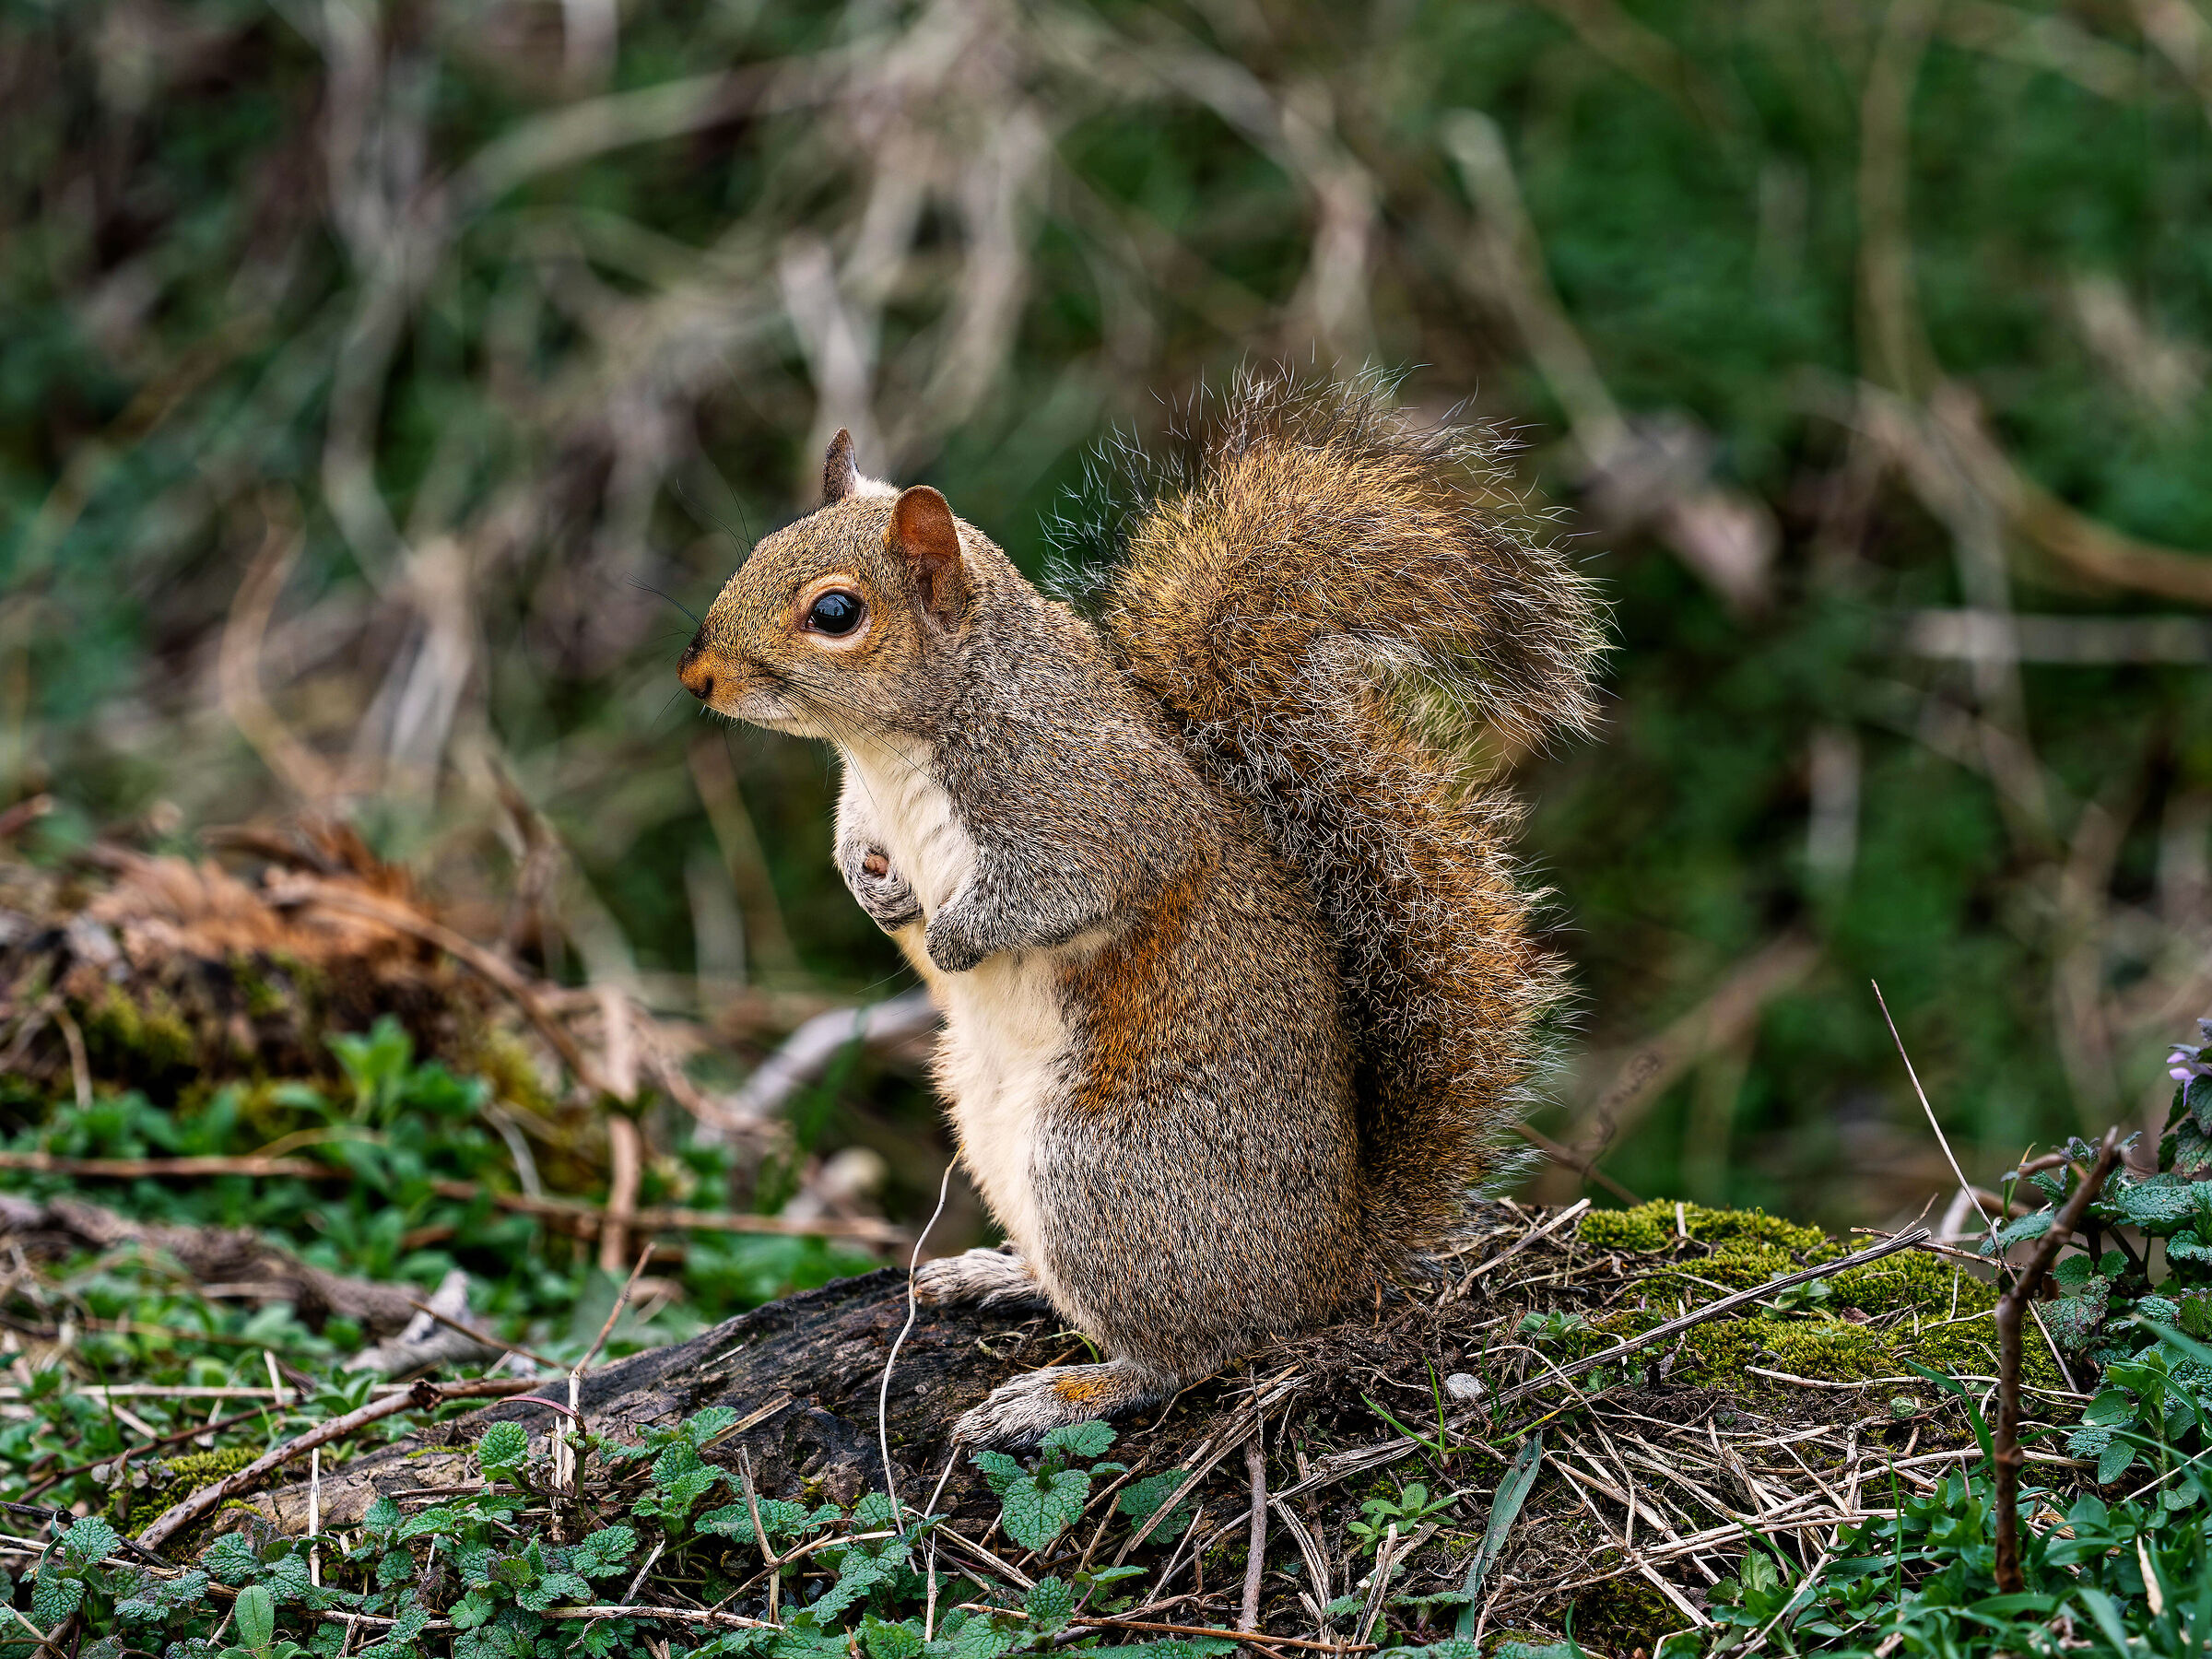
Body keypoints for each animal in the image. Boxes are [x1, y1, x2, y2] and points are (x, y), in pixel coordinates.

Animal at [678, 372, 1604, 1446]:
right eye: (758, 548)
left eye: (835, 612)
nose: (696, 674)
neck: (890, 747)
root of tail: (1334, 1269)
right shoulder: (864, 804)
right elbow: (852, 847)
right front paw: (880, 890)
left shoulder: (1095, 806)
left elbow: (1068, 888)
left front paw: (953, 939)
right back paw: (1001, 1274)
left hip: (1106, 1173)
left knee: (1193, 1349)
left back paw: (1067, 1393)